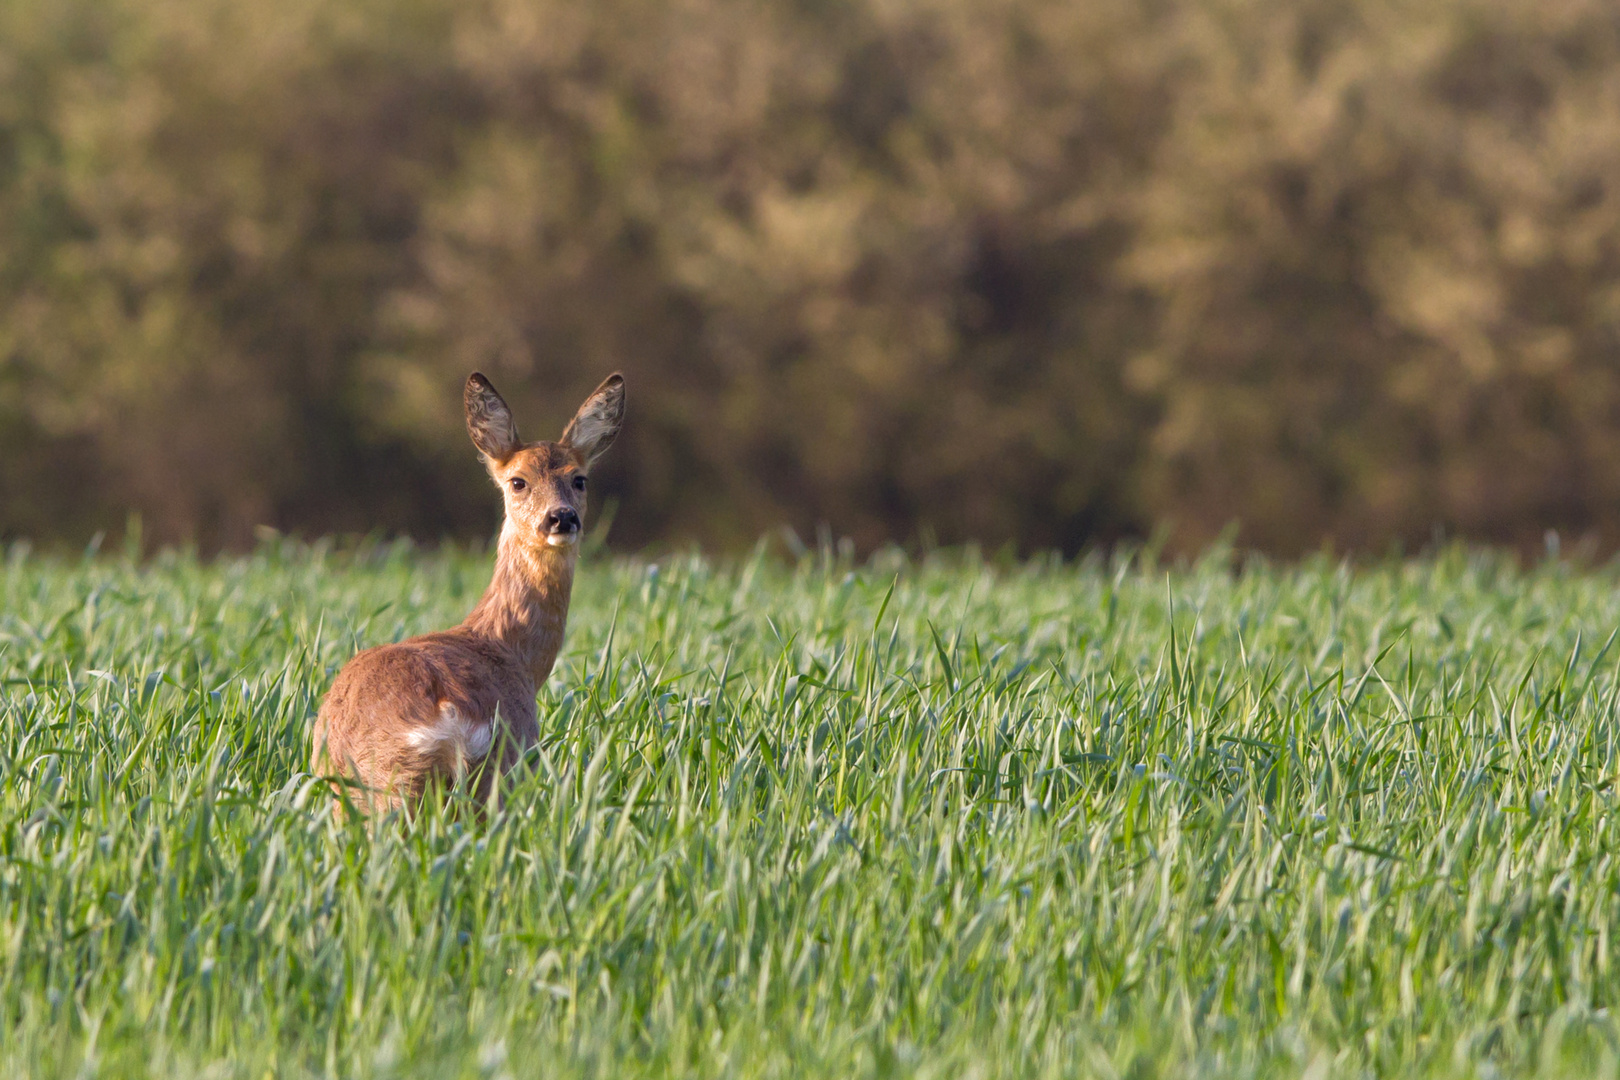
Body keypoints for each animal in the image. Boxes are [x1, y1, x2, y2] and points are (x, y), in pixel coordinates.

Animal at [311, 375, 625, 816]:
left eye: (580, 479)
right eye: (518, 481)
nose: (562, 517)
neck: (508, 649)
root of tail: (440, 714)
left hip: (356, 788)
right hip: (482, 769)